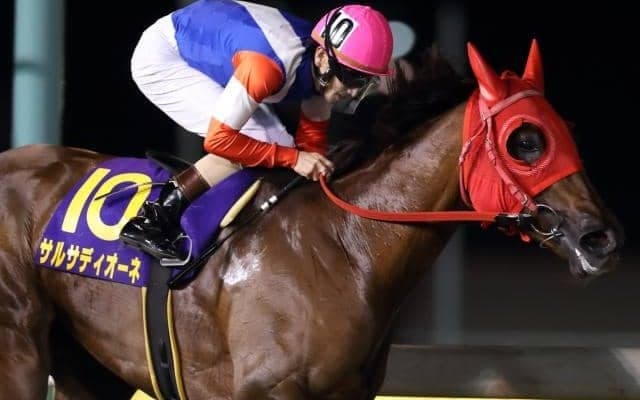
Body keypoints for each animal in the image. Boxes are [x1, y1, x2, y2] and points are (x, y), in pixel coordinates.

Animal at [0, 39, 623, 400]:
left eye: (566, 129)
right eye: (526, 140)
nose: (603, 239)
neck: (348, 251)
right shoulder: (266, 390)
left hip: (86, 365)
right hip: (20, 349)